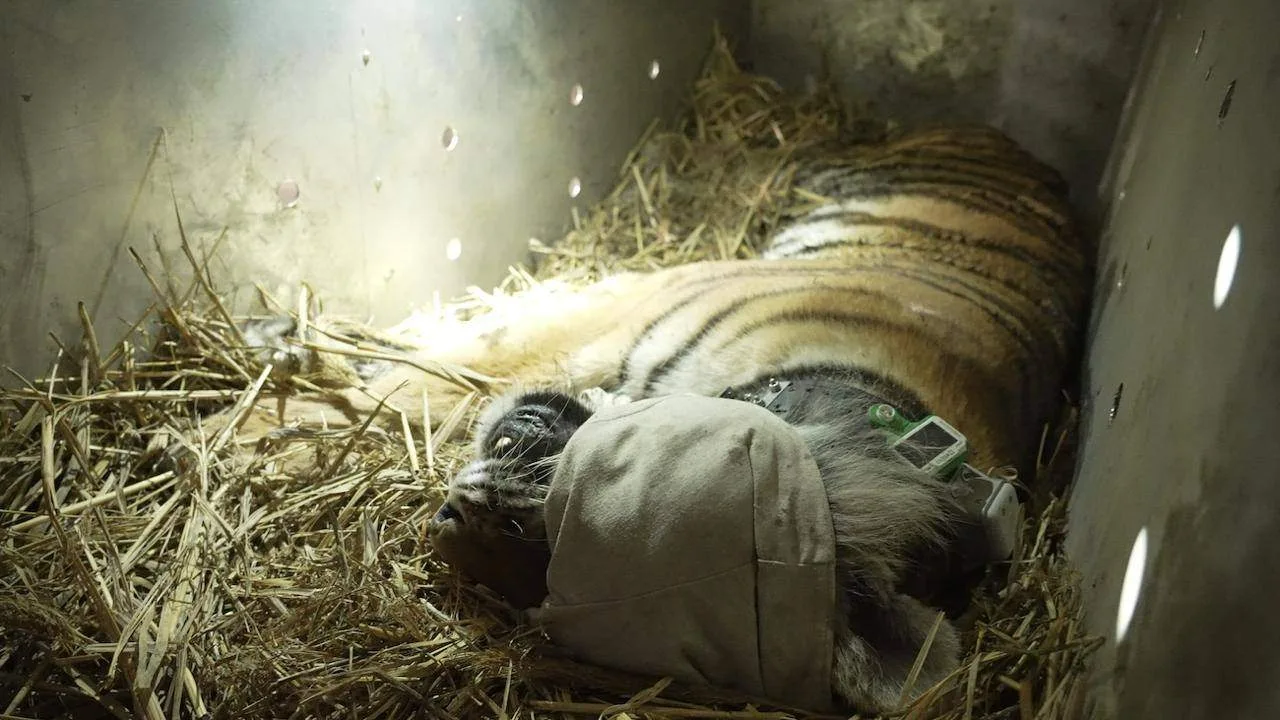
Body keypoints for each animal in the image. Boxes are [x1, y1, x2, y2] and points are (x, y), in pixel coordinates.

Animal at [222, 124, 1090, 715]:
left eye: (546, 568)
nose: (460, 515)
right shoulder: (617, 302)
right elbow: (441, 361)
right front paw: (257, 403)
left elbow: (430, 383)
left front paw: (253, 428)